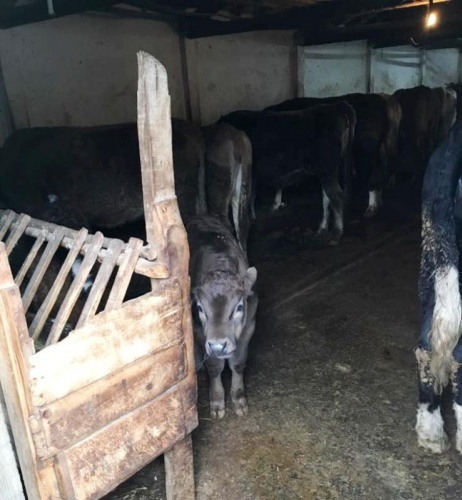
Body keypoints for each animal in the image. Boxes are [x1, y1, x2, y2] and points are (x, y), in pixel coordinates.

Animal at [187, 215, 258, 419]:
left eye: (239, 307)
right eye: (200, 308)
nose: (218, 346)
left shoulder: (250, 325)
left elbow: (238, 364)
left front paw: (239, 400)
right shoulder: (198, 331)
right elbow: (214, 367)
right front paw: (217, 402)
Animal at [222, 102, 356, 244]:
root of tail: (336, 106)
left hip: (327, 170)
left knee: (337, 198)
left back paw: (337, 233)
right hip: (326, 172)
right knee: (327, 198)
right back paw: (322, 229)